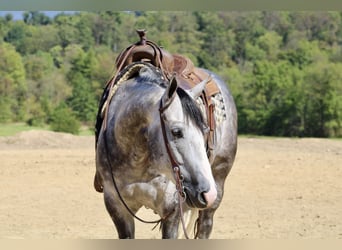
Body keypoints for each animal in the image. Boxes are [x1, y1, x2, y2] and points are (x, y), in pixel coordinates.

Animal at [95, 62, 236, 238]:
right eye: (176, 131)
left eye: (205, 130)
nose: (208, 193)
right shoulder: (117, 207)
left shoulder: (171, 210)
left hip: (218, 180)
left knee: (205, 225)